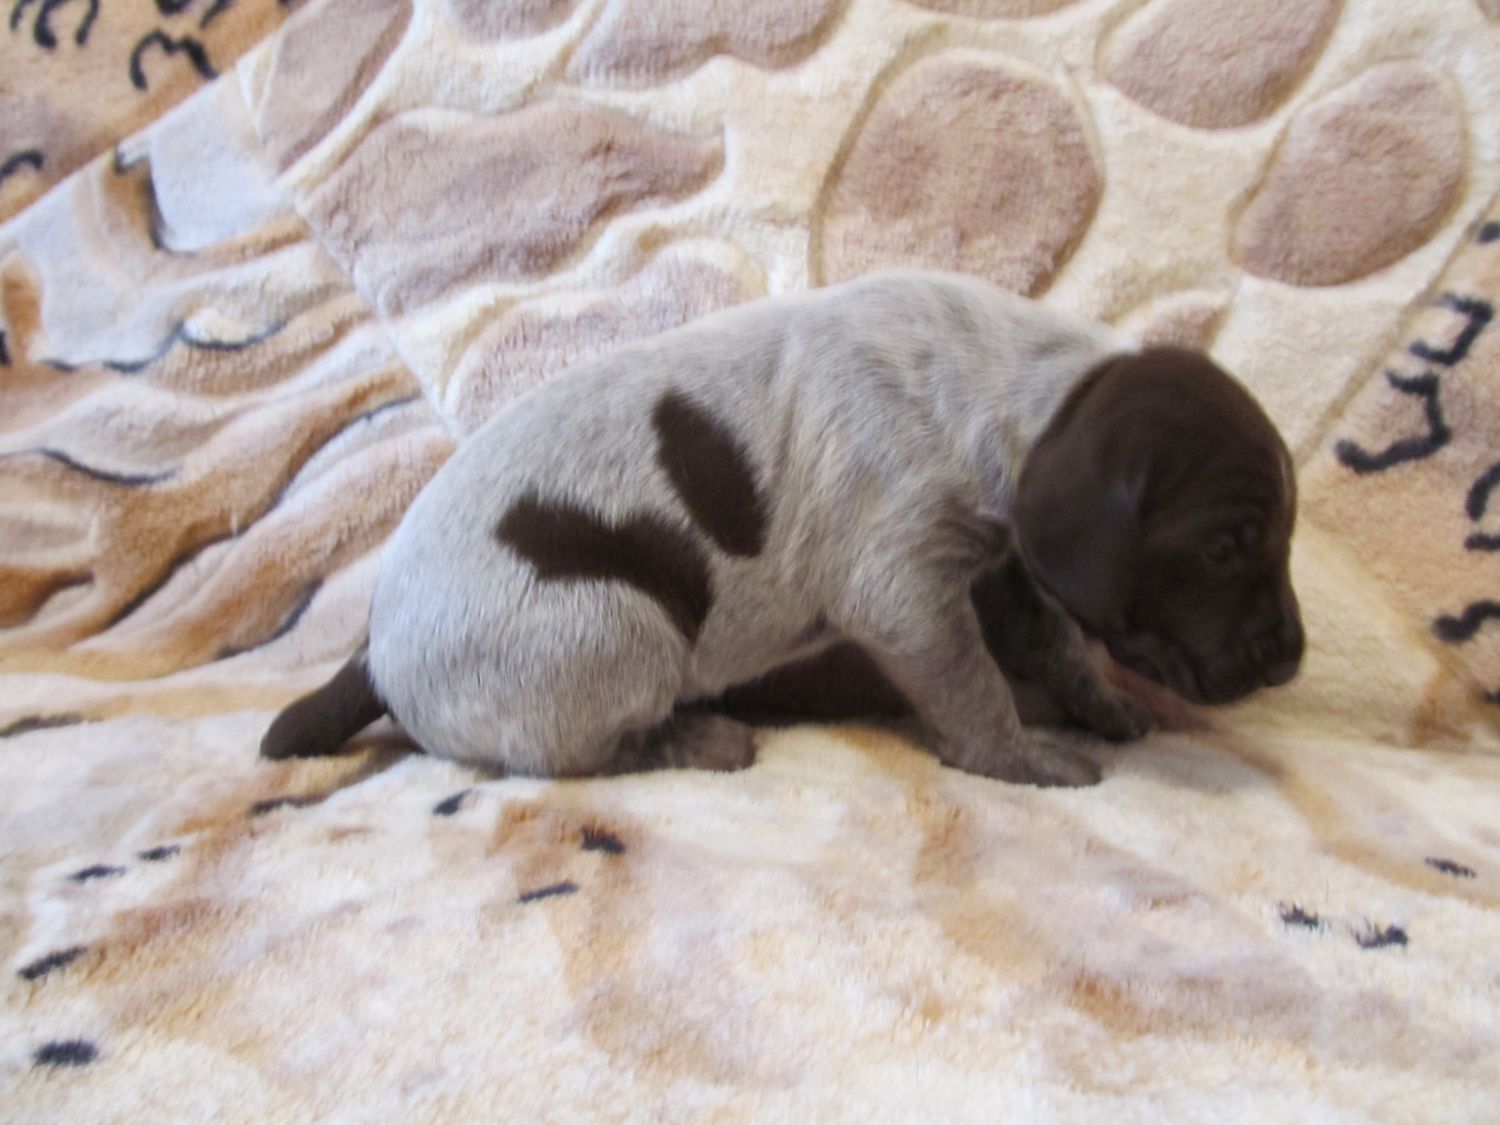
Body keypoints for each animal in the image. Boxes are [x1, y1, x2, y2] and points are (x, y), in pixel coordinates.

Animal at [261, 270, 1303, 787]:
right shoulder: (904, 584)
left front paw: (1101, 703)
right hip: (613, 627)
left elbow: (1053, 644)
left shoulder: (996, 568)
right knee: (561, 755)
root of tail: (372, 653)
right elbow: (970, 686)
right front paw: (1021, 757)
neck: (1019, 383)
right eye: (1223, 547)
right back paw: (696, 740)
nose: (1293, 659)